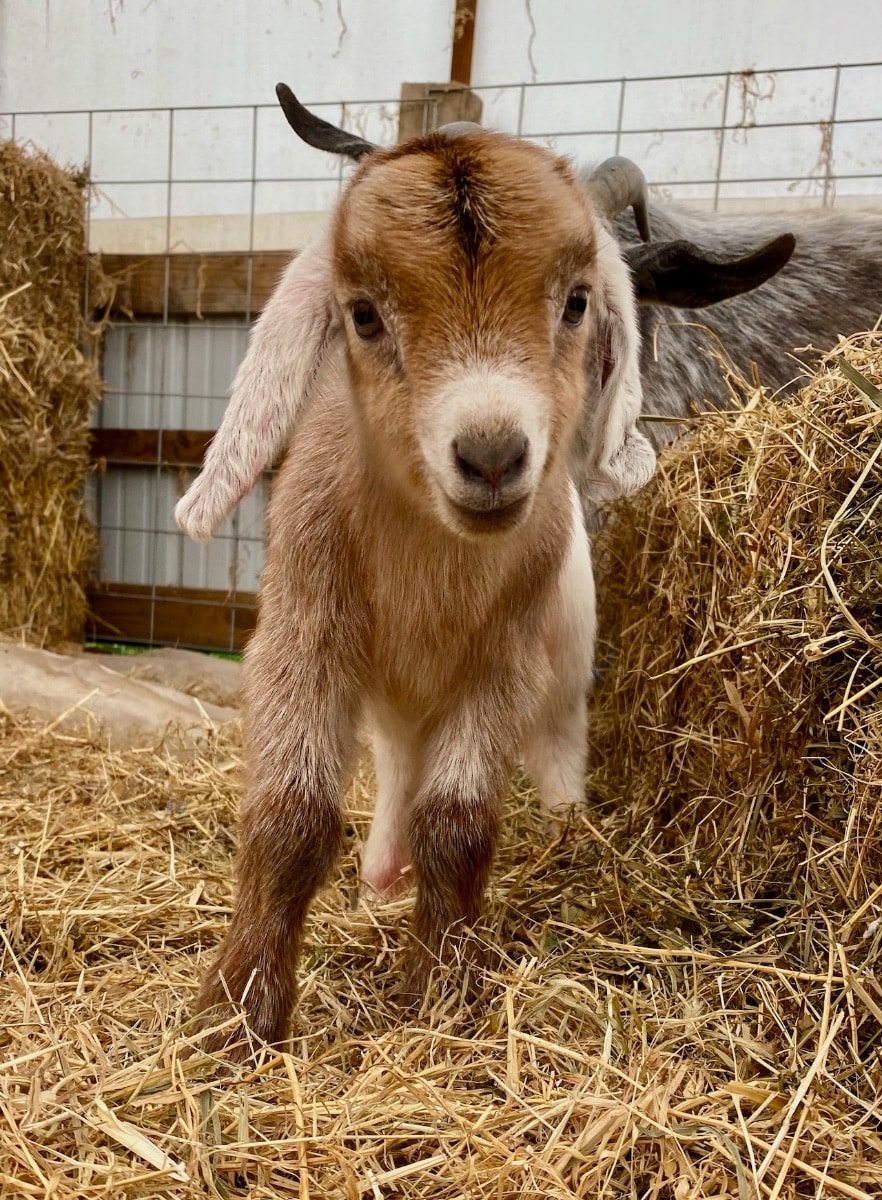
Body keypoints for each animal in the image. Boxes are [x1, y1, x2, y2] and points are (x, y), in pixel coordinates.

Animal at [186, 118, 656, 1051]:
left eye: (577, 302)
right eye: (364, 315)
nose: (492, 455)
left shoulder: (502, 663)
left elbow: (460, 824)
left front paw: (442, 991)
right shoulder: (303, 632)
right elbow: (291, 817)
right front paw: (236, 1011)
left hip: (557, 685)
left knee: (550, 764)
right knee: (398, 763)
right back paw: (379, 872)